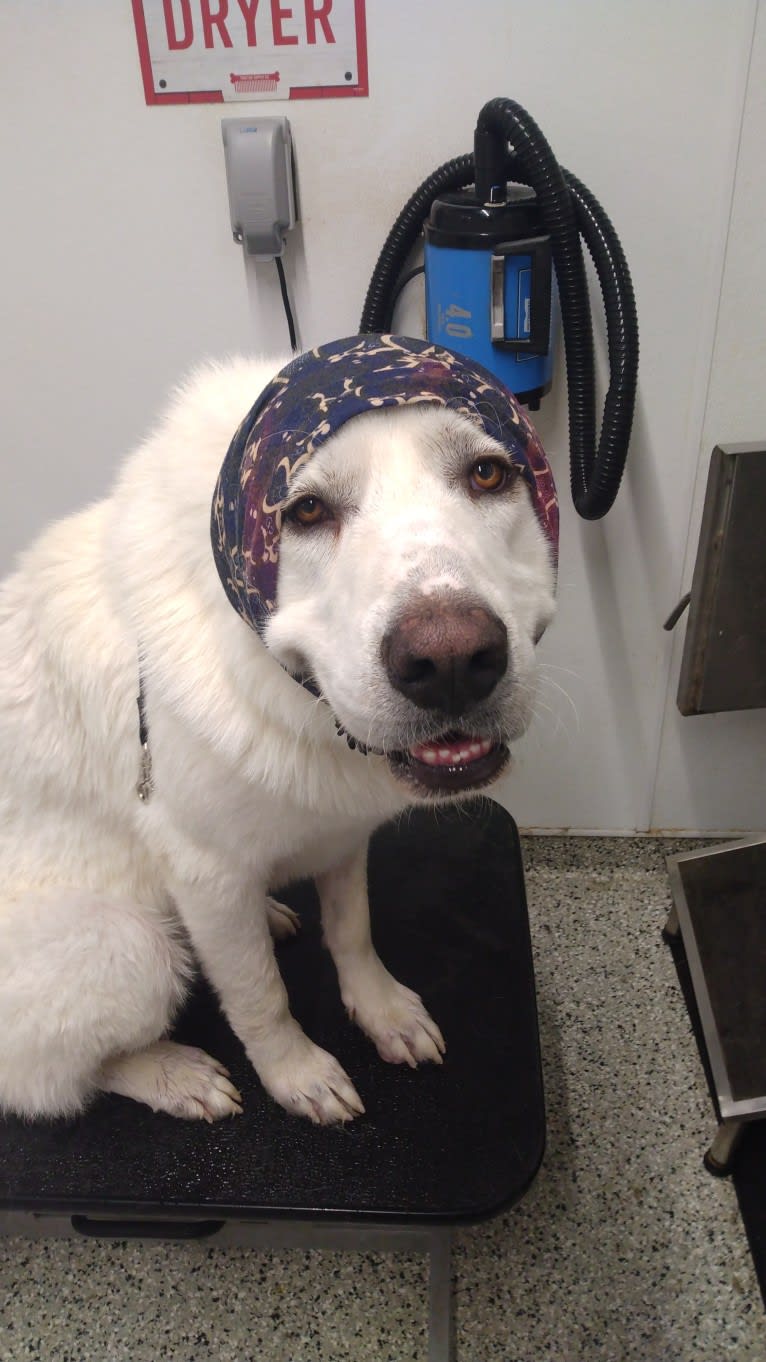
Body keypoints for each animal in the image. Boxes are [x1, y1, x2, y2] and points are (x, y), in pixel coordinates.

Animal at [0, 335, 557, 1126]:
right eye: (308, 511)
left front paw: (380, 1010)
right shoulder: (204, 874)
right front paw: (296, 1074)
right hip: (129, 946)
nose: (449, 662)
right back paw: (173, 1075)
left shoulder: (343, 834)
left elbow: (352, 929)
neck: (288, 692)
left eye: (487, 474)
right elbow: (259, 995)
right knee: (44, 1082)